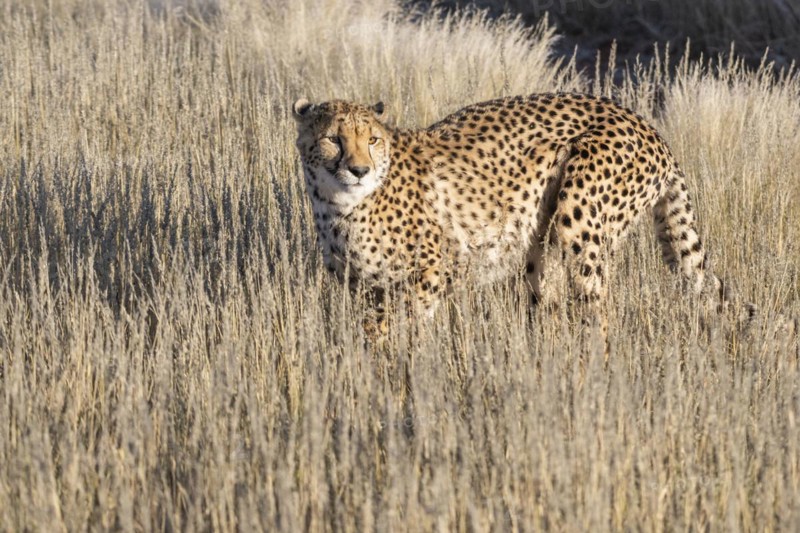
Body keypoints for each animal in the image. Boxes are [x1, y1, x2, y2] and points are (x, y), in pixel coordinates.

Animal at [292, 93, 732, 347]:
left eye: (372, 140)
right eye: (333, 139)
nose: (359, 170)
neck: (340, 205)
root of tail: (644, 124)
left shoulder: (446, 264)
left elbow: (396, 323)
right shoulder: (366, 288)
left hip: (579, 218)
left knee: (597, 314)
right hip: (543, 245)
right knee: (550, 306)